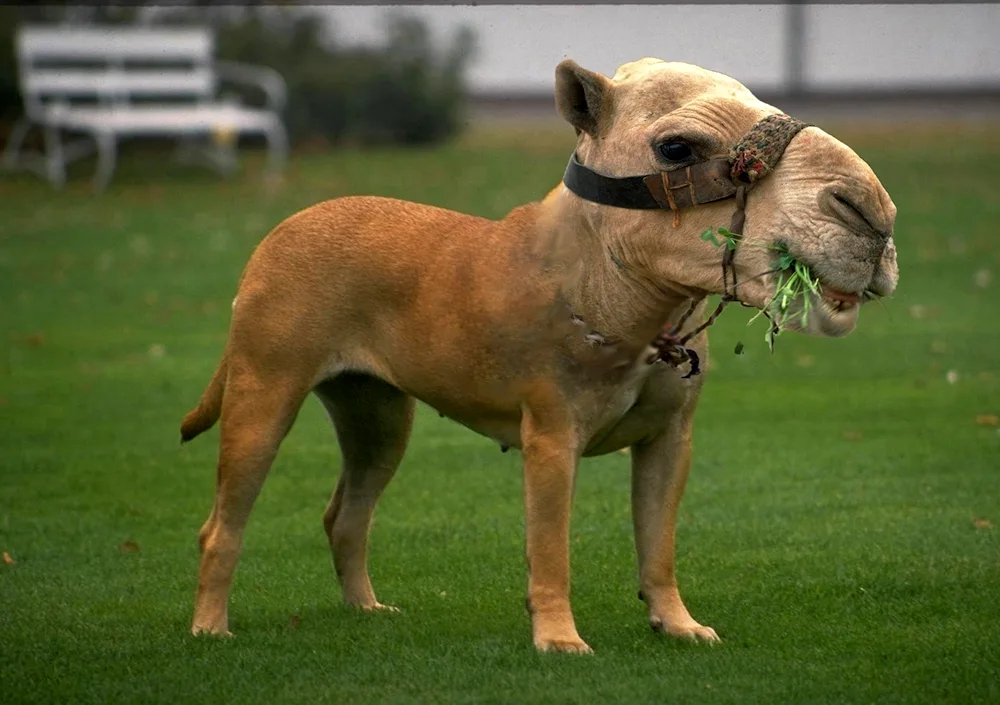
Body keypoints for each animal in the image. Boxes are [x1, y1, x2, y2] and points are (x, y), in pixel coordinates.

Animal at [180, 57, 900, 652]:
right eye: (677, 148)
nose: (872, 213)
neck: (610, 287)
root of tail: (281, 229)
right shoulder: (553, 441)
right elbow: (551, 553)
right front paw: (558, 637)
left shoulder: (671, 442)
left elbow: (658, 549)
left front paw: (676, 623)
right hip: (263, 401)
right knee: (222, 527)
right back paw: (210, 627)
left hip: (378, 421)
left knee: (346, 516)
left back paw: (366, 609)